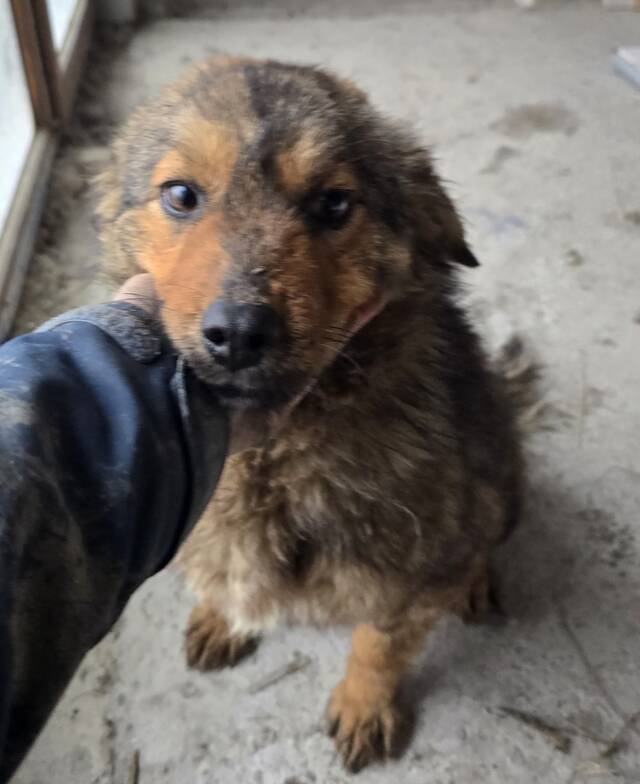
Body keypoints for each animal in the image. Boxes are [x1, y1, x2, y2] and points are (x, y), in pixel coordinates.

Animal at [96, 57, 522, 772]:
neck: (277, 460)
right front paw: (223, 614)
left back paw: (475, 581)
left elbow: (380, 642)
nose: (239, 335)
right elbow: (227, 573)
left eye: (333, 204)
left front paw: (364, 704)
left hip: (497, 474)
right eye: (181, 195)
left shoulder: (410, 569)